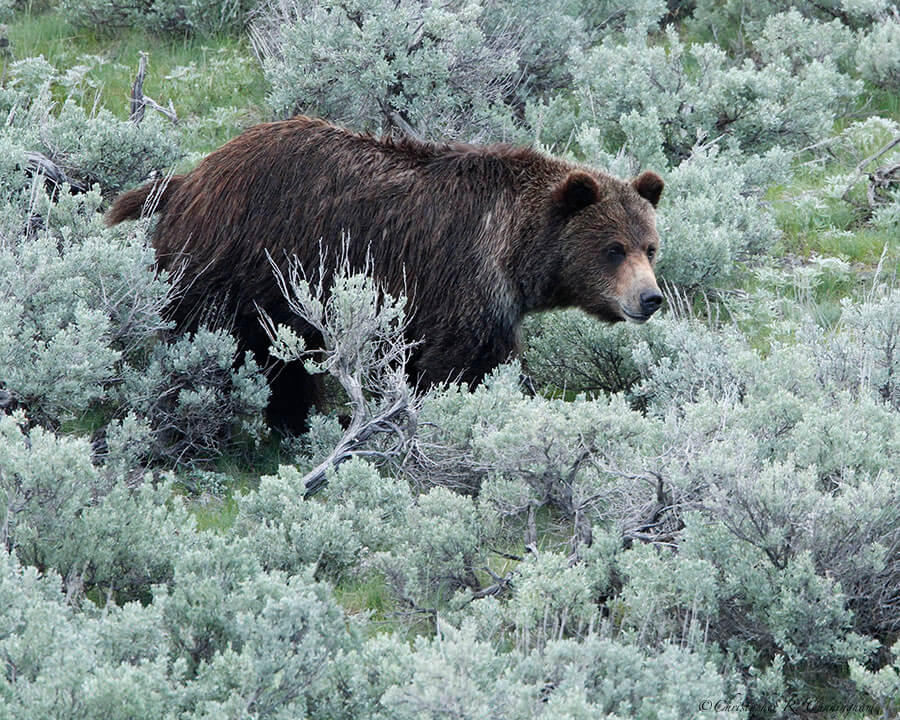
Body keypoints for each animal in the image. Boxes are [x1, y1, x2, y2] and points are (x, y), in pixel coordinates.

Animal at [109, 117, 664, 430]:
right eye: (613, 249)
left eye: (650, 248)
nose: (650, 298)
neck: (515, 247)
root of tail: (191, 178)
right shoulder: (464, 280)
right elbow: (462, 365)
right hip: (237, 263)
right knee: (211, 337)